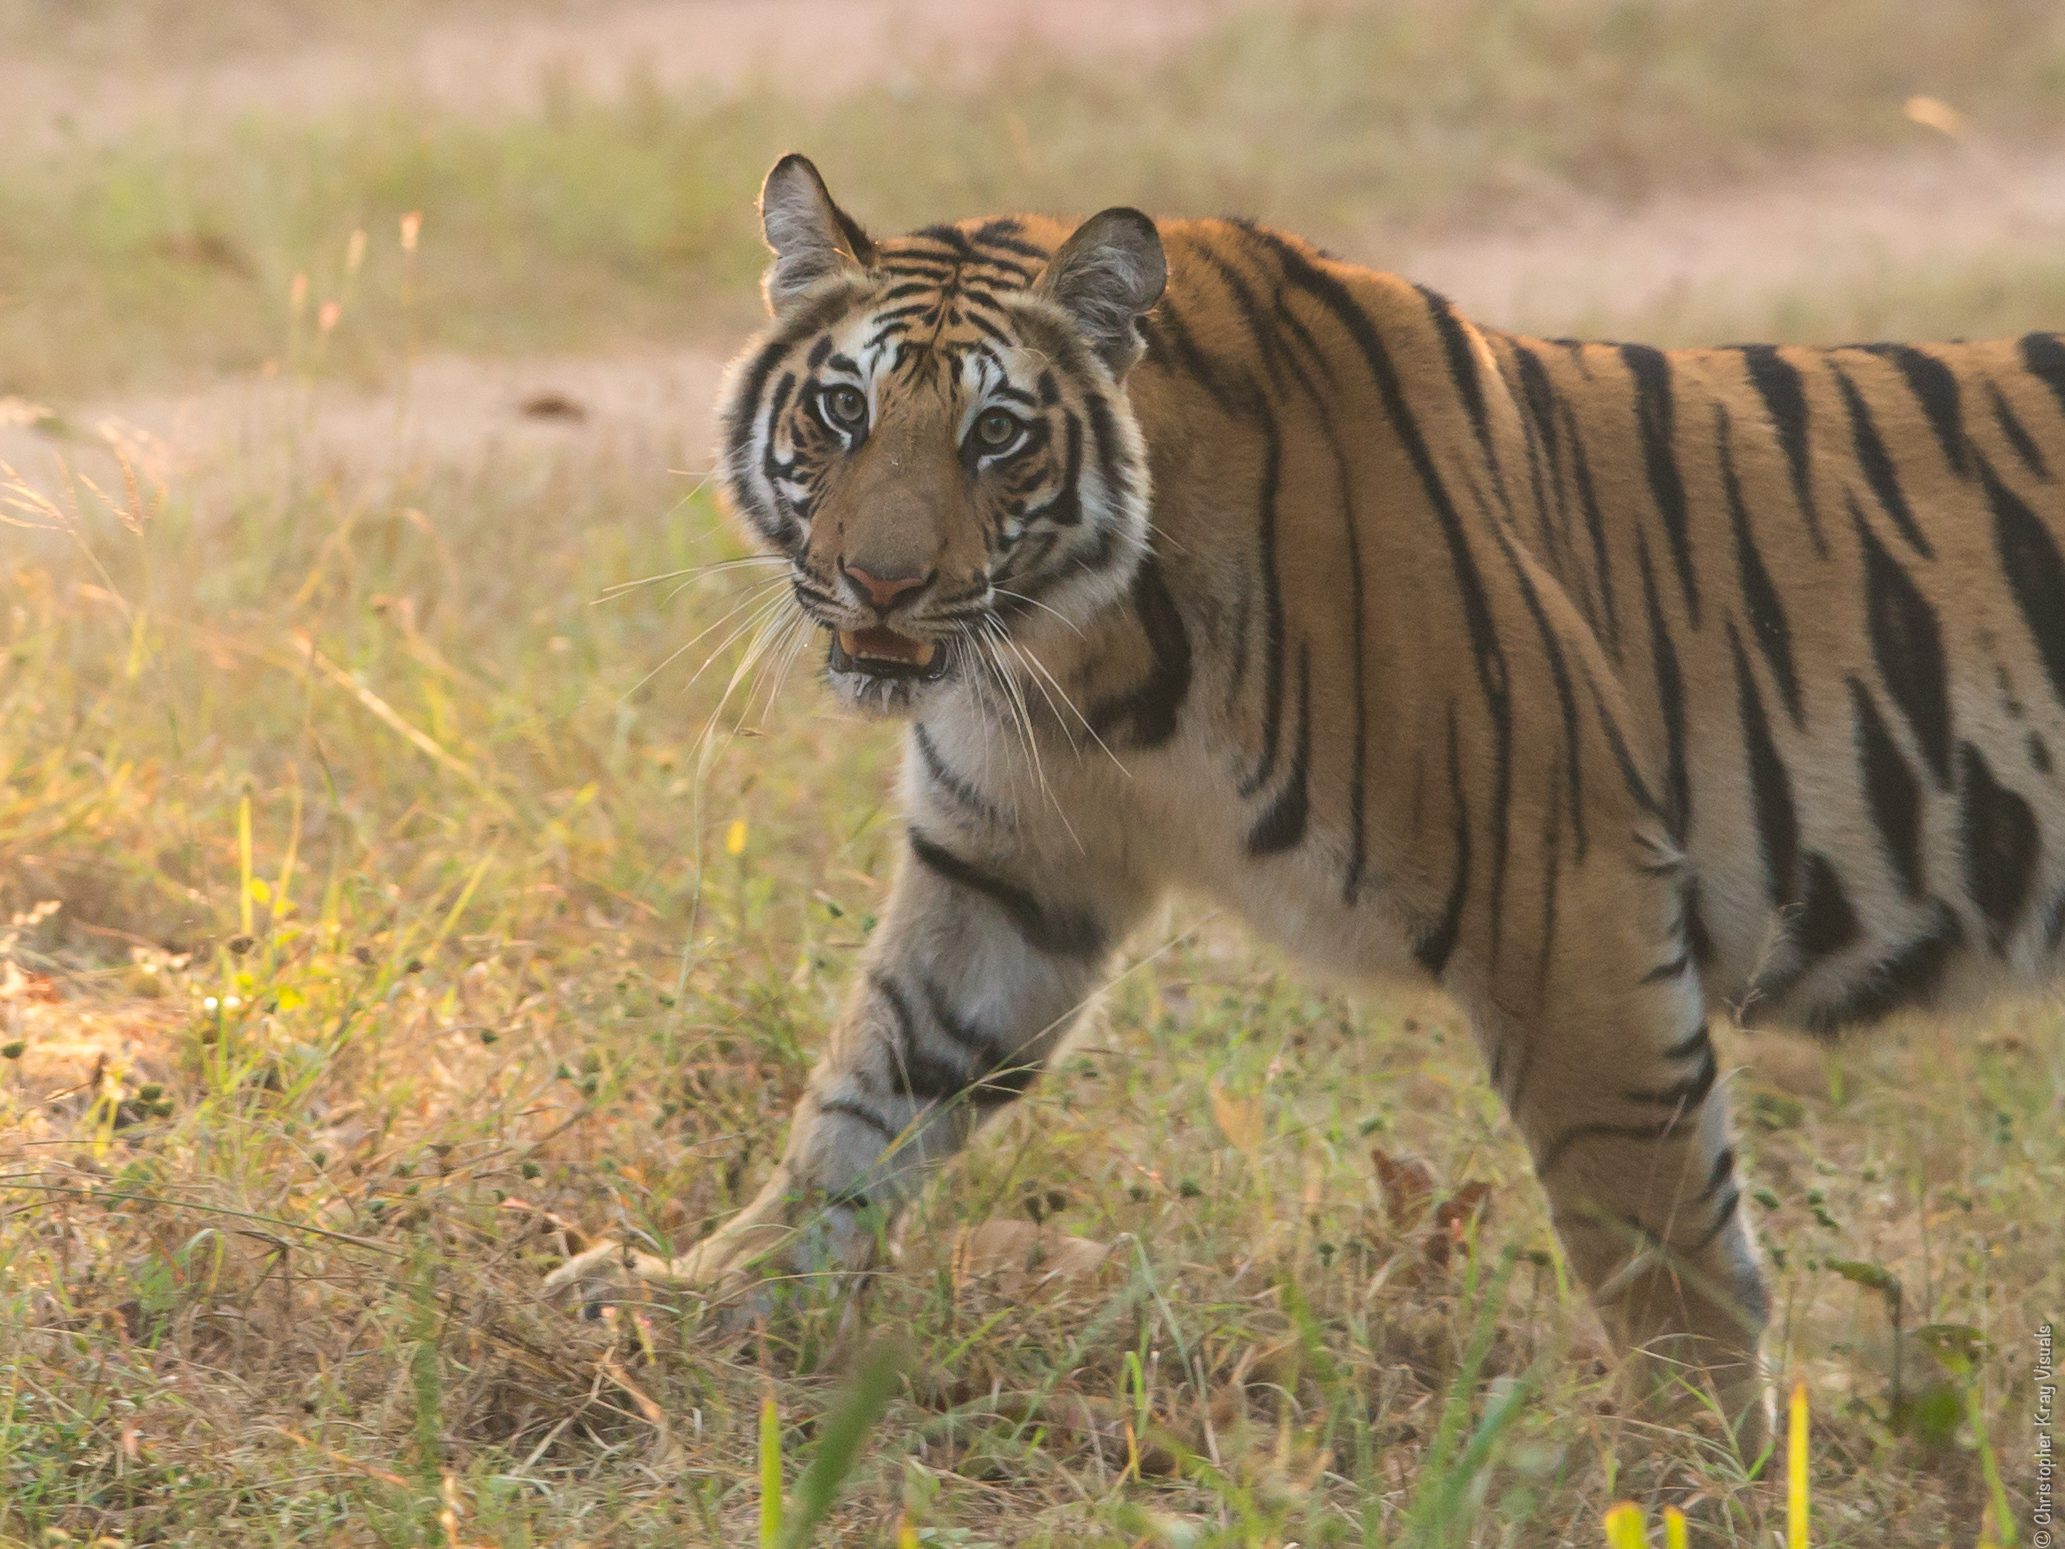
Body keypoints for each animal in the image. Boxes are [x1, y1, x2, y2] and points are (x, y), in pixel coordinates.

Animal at [545, 151, 2065, 1453]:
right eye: (843, 410)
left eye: (995, 433)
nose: (880, 584)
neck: (1080, 652)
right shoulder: (1008, 869)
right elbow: (871, 1088)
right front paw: (708, 1291)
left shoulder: (1562, 887)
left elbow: (1647, 1214)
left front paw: (1698, 1463)